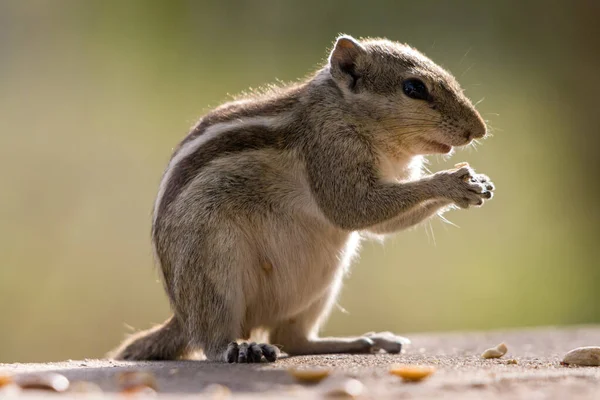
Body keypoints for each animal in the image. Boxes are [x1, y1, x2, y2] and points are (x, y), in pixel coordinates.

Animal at [110, 36, 494, 364]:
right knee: (211, 340)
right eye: (413, 88)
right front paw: (451, 183)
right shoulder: (330, 150)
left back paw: (362, 341)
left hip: (321, 285)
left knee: (293, 340)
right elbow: (353, 209)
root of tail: (182, 315)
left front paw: (479, 184)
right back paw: (239, 347)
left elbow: (383, 224)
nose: (479, 130)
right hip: (214, 271)